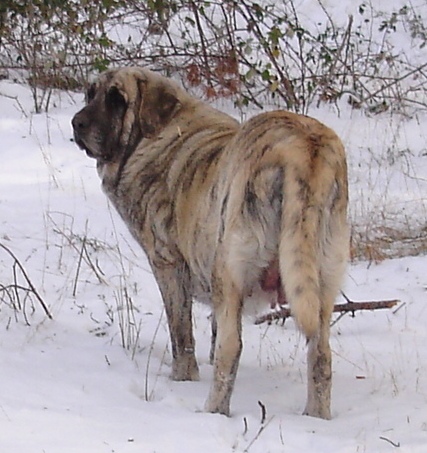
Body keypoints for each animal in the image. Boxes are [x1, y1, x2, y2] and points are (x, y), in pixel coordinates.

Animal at [72, 65, 350, 418]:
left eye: (117, 99)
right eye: (90, 93)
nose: (77, 123)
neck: (156, 135)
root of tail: (303, 147)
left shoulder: (168, 264)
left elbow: (181, 333)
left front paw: (183, 378)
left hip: (230, 271)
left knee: (232, 349)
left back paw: (213, 411)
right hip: (321, 280)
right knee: (321, 355)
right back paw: (316, 416)